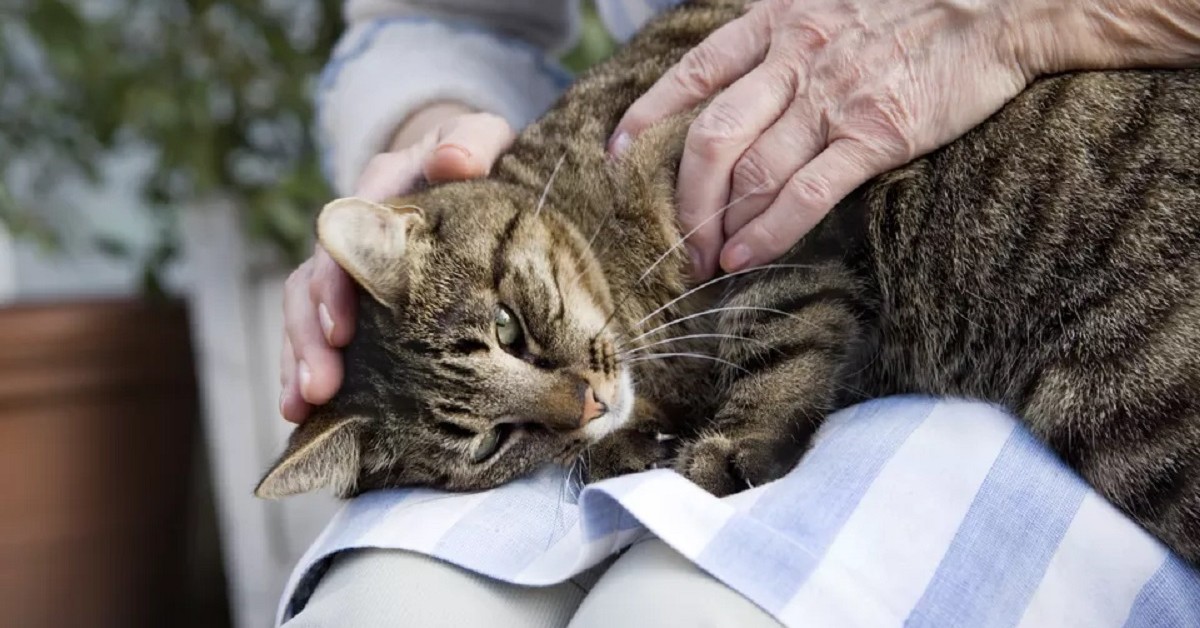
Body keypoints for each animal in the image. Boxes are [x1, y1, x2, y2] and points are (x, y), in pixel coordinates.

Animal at [258, 0, 1200, 559]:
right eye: (489, 442)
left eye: (507, 328)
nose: (586, 406)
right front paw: (632, 447)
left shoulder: (768, 204)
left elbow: (777, 334)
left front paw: (723, 448)